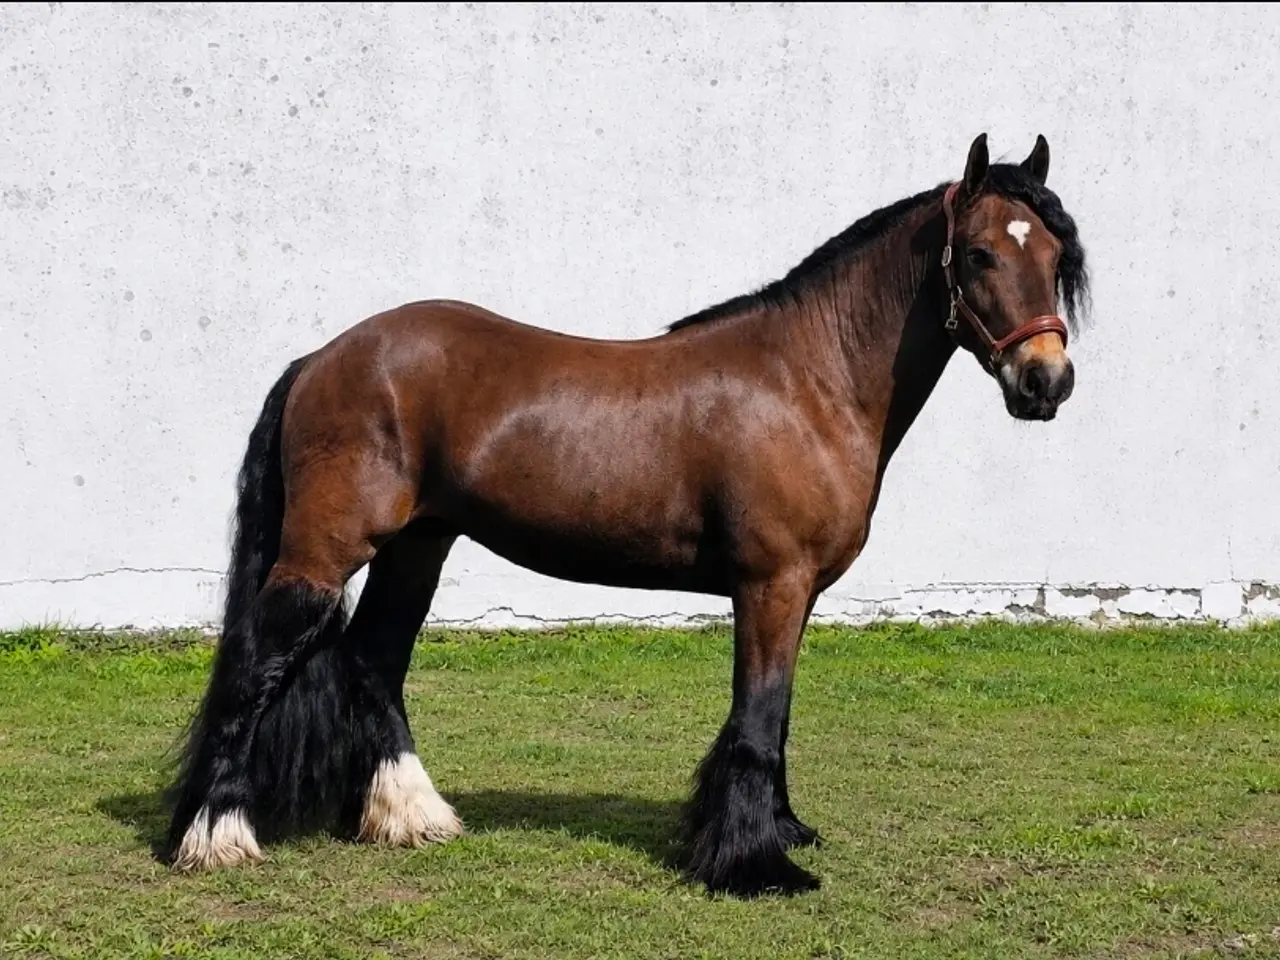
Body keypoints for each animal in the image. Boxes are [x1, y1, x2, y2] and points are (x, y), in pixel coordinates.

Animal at [163, 132, 1090, 899]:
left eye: (1053, 253)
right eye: (979, 253)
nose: (1046, 382)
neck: (808, 381)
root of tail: (322, 358)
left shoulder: (798, 594)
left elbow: (778, 714)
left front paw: (780, 832)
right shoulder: (771, 585)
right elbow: (759, 718)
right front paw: (755, 865)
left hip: (417, 547)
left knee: (373, 661)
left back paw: (411, 816)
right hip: (326, 552)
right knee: (258, 663)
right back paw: (218, 836)